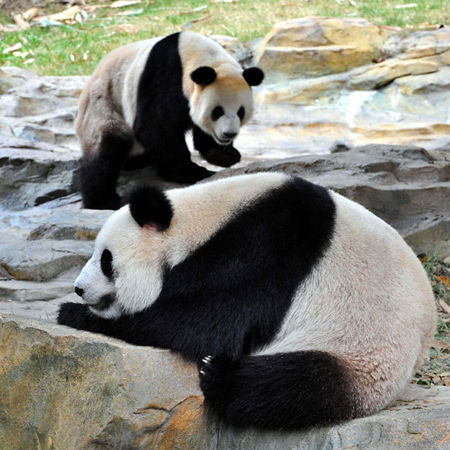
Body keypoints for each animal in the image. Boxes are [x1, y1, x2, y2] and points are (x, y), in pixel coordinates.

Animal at [56, 172, 436, 428]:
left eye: (106, 260)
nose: (79, 288)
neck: (200, 222)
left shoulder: (261, 250)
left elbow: (200, 324)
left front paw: (73, 314)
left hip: (362, 353)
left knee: (295, 385)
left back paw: (219, 375)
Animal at [76, 31, 264, 211]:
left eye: (240, 112)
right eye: (217, 111)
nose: (229, 134)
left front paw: (224, 155)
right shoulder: (165, 78)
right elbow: (157, 127)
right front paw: (190, 172)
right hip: (104, 103)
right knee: (107, 148)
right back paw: (103, 201)